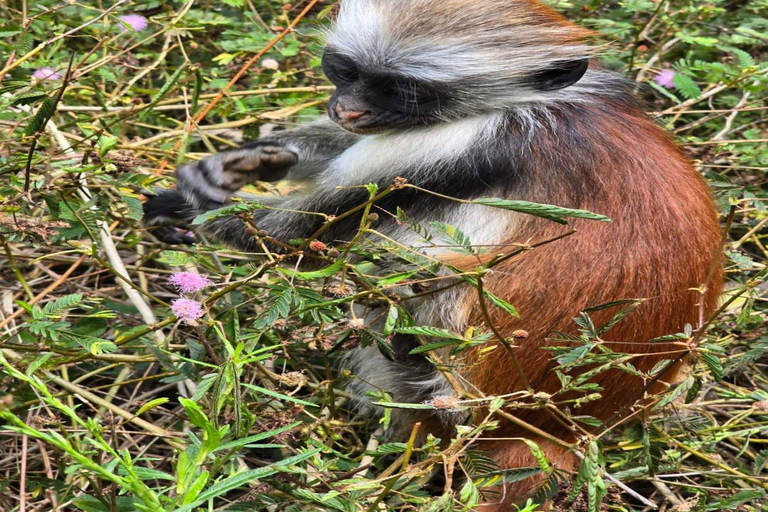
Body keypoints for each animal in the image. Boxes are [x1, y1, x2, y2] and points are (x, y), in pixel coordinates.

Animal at [142, 0, 720, 504]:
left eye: (404, 91)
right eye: (344, 71)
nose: (348, 108)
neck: (539, 106)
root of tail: (551, 431)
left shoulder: (460, 140)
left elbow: (297, 236)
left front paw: (184, 206)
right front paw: (249, 161)